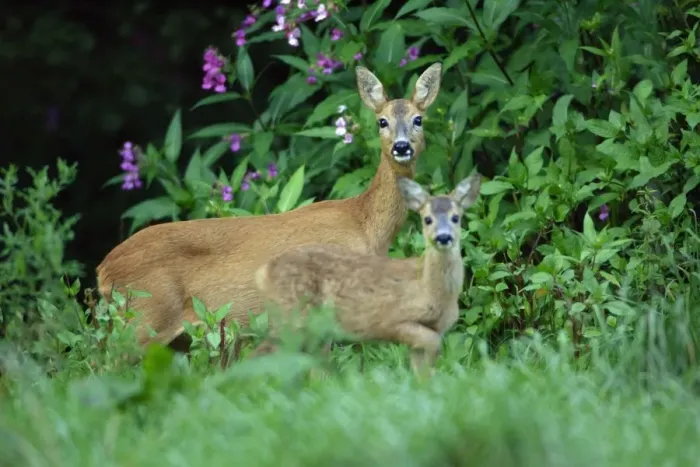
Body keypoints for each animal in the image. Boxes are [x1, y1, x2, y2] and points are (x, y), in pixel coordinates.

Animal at [95, 62, 444, 352]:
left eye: (418, 119)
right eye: (382, 121)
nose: (402, 147)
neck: (366, 225)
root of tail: (103, 269)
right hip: (144, 318)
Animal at [253, 173, 482, 376]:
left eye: (456, 217)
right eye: (427, 219)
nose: (443, 237)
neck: (429, 288)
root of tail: (264, 272)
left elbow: (423, 373)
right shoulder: (391, 320)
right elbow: (433, 345)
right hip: (291, 318)